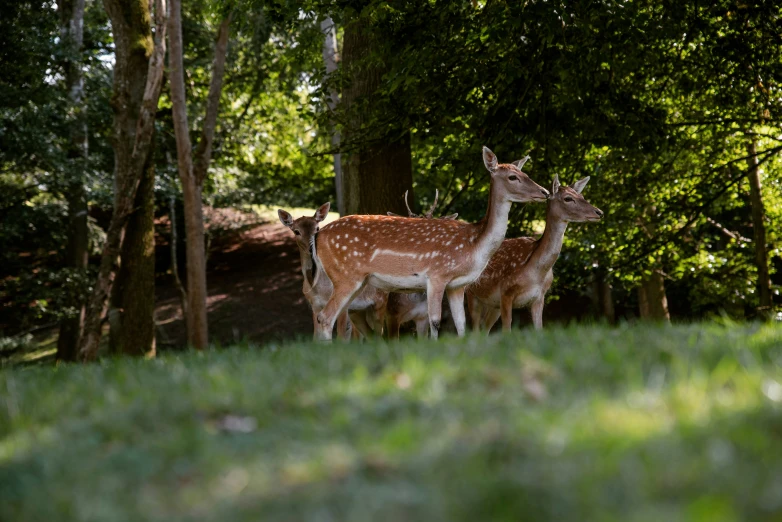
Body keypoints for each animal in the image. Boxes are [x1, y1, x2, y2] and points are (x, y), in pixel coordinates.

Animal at [278, 201, 388, 340]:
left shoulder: (344, 307)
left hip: (380, 301)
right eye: (296, 231)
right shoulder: (314, 305)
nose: (311, 248)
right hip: (359, 310)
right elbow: (316, 338)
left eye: (317, 229)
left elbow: (341, 336)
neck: (316, 288)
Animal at [312, 146, 552, 342]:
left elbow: (461, 324)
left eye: (525, 174)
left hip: (358, 282)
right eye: (513, 177)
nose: (545, 192)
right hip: (345, 275)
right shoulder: (436, 275)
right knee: (325, 317)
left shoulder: (457, 285)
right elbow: (435, 321)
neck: (473, 246)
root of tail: (319, 236)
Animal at [466, 174, 608, 330]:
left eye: (581, 195)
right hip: (471, 293)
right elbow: (507, 329)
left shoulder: (539, 298)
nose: (599, 212)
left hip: (492, 304)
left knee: (485, 327)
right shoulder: (506, 292)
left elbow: (539, 328)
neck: (536, 274)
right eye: (568, 198)